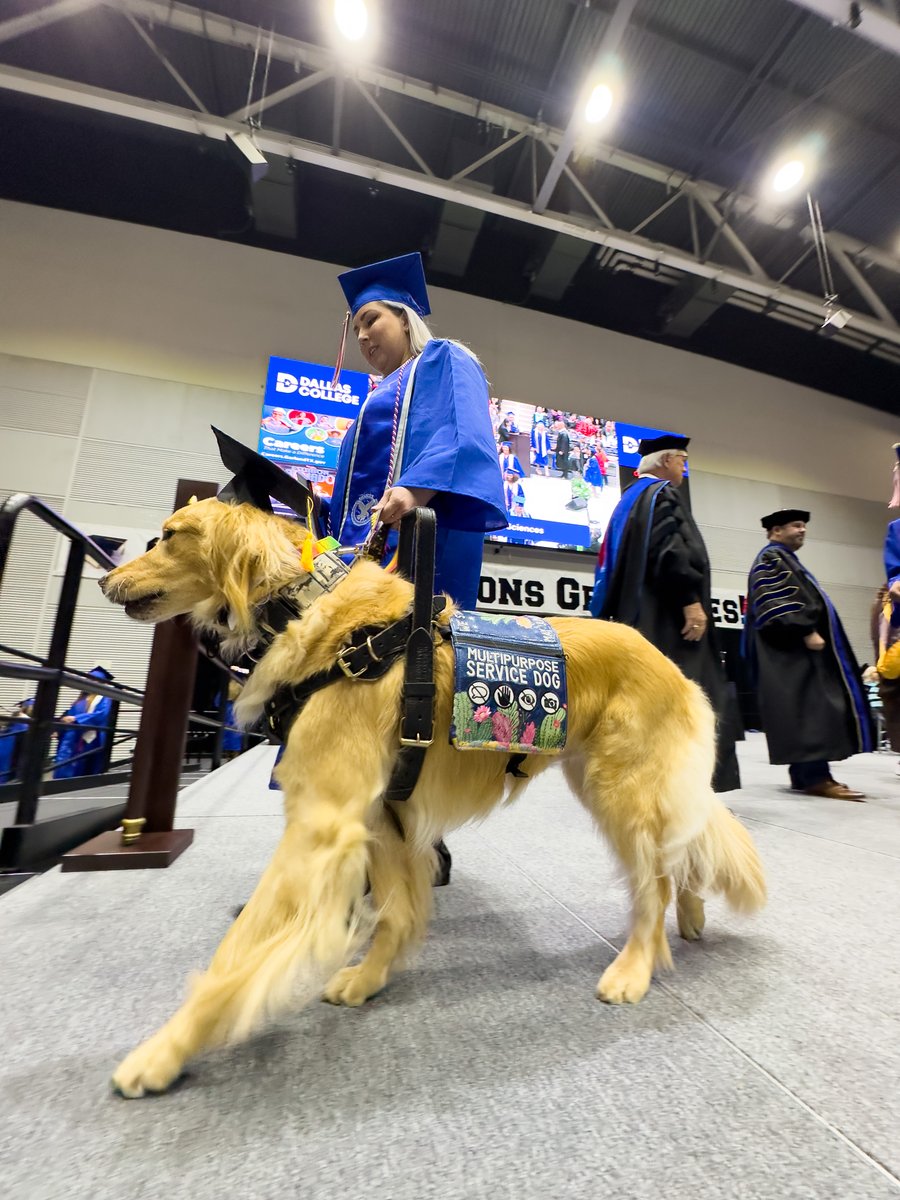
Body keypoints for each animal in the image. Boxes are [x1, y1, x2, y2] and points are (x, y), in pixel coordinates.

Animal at [100, 496, 768, 1099]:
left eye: (168, 537)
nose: (106, 575)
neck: (309, 614)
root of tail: (673, 666)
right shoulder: (380, 818)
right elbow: (396, 912)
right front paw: (369, 978)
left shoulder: (321, 824)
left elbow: (238, 953)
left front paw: (167, 1049)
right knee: (681, 853)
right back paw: (692, 917)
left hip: (621, 794)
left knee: (654, 885)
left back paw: (634, 967)